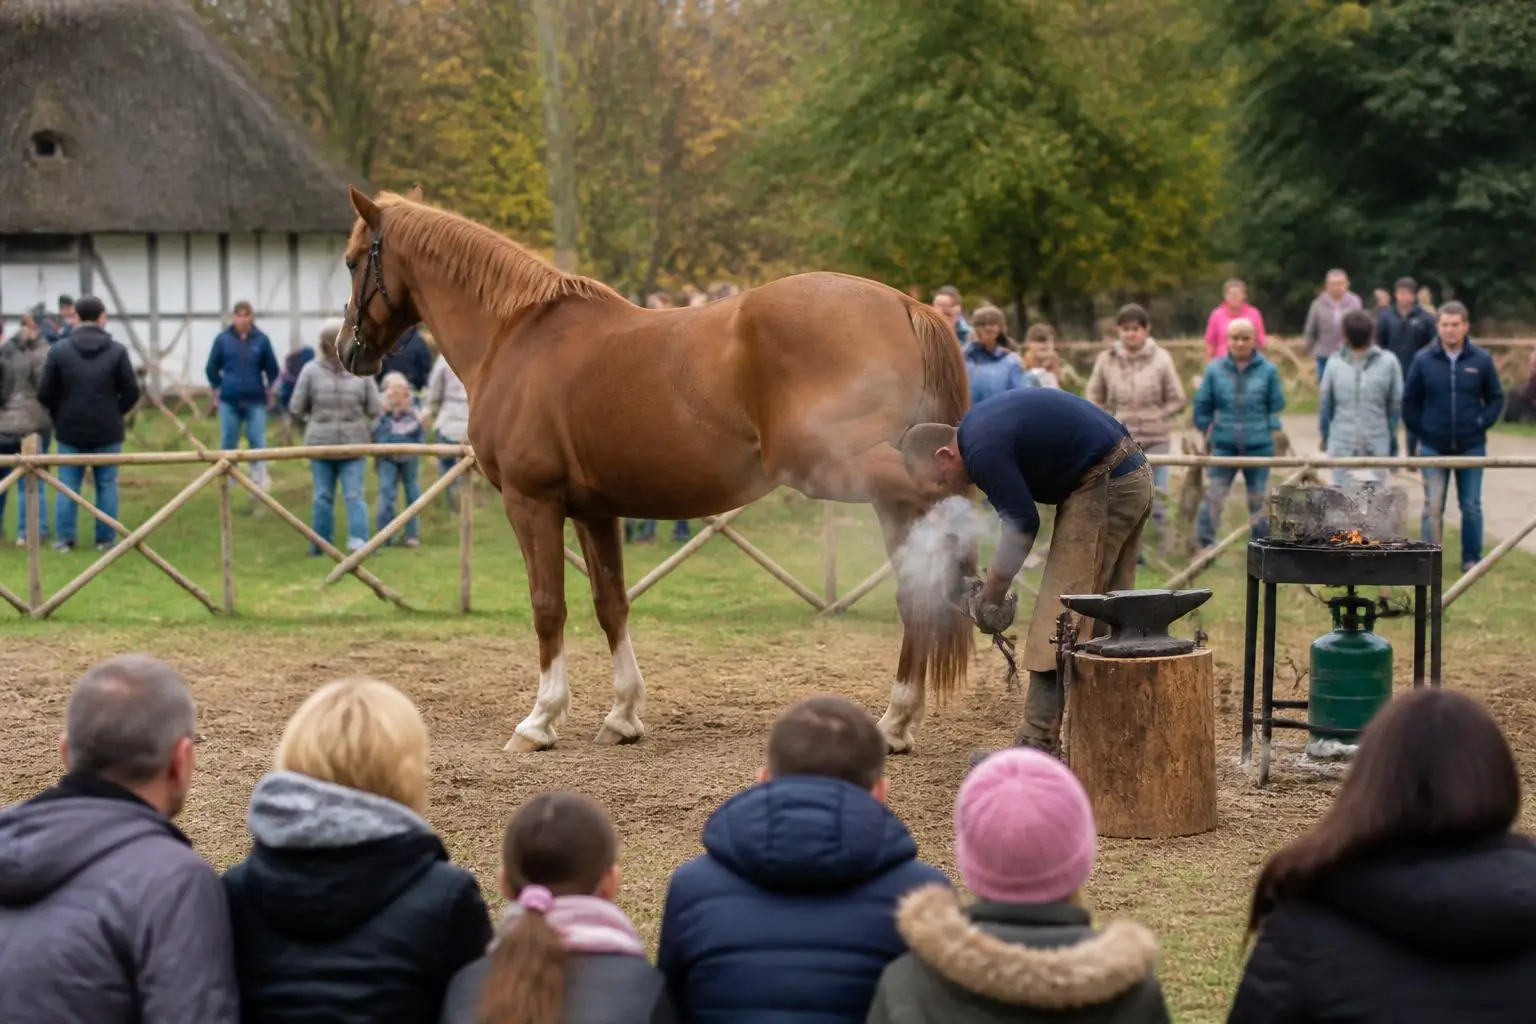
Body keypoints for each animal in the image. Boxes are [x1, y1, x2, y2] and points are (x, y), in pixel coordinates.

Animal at [337, 184, 977, 754]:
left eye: (350, 261)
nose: (347, 350)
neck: (516, 334)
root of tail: (907, 304)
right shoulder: (595, 512)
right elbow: (610, 603)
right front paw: (622, 716)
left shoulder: (531, 502)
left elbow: (548, 606)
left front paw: (540, 720)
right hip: (883, 495)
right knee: (917, 587)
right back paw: (895, 722)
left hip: (858, 472)